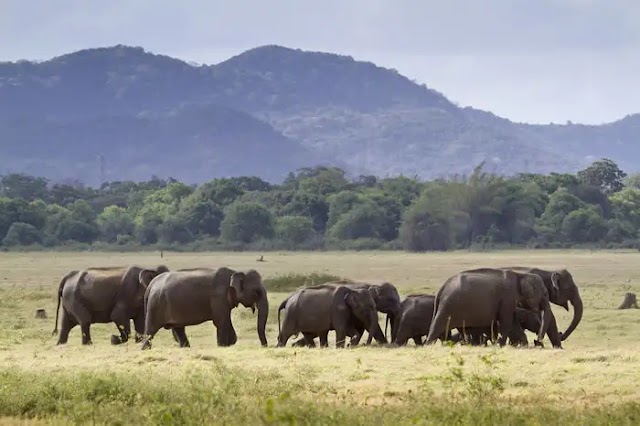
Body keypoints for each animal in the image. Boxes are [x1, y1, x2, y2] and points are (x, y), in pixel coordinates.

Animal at [140, 268, 268, 348]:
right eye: (256, 292)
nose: (264, 347)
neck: (234, 272)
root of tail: (150, 285)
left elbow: (226, 323)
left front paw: (229, 343)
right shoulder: (218, 297)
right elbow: (221, 322)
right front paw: (222, 346)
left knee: (179, 329)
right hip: (155, 306)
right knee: (150, 332)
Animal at [422, 268, 552, 348]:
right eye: (545, 293)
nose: (537, 342)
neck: (520, 275)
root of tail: (441, 289)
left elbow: (514, 324)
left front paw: (522, 345)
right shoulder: (507, 297)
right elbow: (506, 323)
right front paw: (501, 346)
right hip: (448, 306)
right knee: (437, 327)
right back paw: (428, 346)